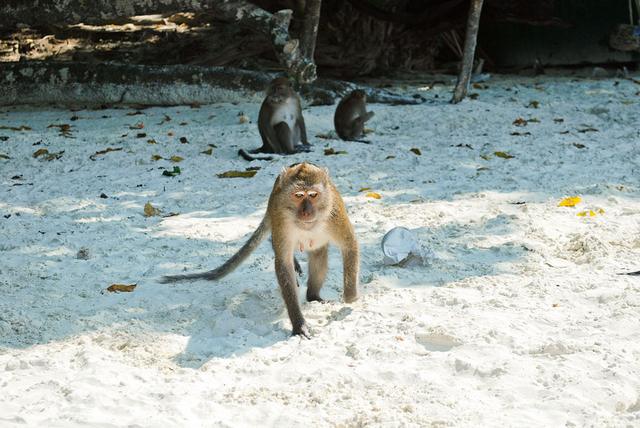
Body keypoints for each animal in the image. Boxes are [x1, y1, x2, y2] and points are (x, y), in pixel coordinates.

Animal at [159, 163, 360, 338]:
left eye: (313, 195)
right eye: (298, 195)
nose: (306, 212)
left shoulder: (334, 215)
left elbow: (349, 245)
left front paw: (350, 297)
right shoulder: (280, 217)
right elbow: (283, 263)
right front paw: (299, 324)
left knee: (319, 254)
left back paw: (313, 296)